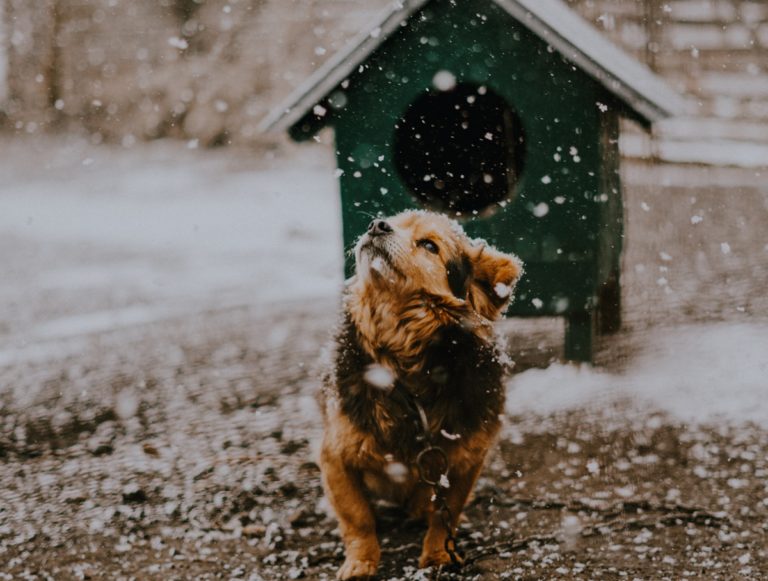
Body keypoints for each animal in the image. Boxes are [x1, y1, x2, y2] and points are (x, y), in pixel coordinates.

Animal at [318, 208, 520, 576]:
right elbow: (358, 518)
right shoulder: (335, 456)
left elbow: (446, 514)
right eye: (392, 221)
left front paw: (439, 554)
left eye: (429, 245)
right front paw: (361, 561)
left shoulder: (465, 459)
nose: (376, 224)